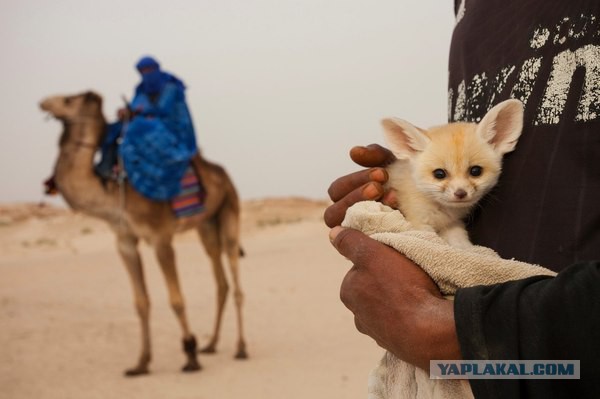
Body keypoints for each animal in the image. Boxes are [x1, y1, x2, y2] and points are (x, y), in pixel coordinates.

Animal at [38, 91, 248, 378]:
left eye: (69, 100)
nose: (43, 102)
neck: (113, 189)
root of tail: (224, 175)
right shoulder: (124, 240)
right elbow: (141, 302)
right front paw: (141, 363)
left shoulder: (161, 238)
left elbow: (176, 299)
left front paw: (190, 355)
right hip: (206, 224)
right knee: (220, 279)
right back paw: (212, 344)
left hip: (229, 209)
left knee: (234, 273)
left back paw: (241, 348)